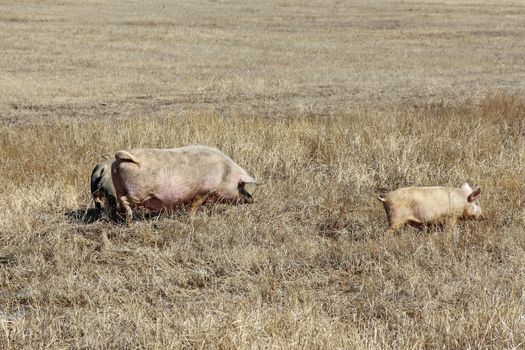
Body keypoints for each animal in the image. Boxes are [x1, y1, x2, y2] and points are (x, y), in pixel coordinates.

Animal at [111, 144, 256, 221]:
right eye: (241, 185)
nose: (252, 199)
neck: (224, 173)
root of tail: (122, 157)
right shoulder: (204, 190)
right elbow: (195, 205)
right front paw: (192, 219)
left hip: (118, 187)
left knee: (119, 201)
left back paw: (126, 219)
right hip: (138, 193)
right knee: (125, 200)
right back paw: (130, 217)